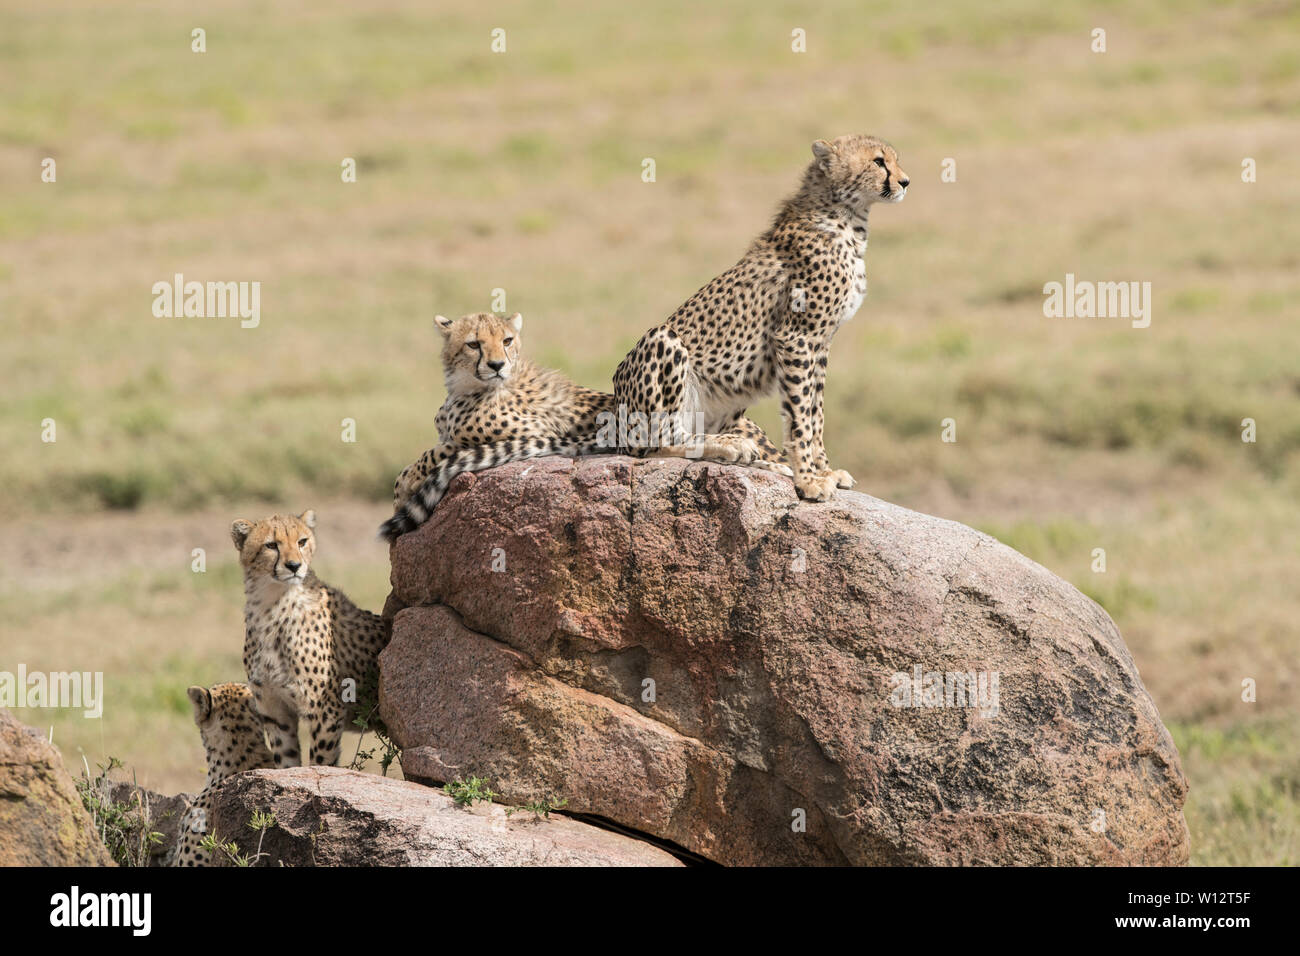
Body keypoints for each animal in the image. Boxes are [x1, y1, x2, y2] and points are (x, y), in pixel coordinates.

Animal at [233, 512, 387, 764]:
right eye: (271, 545)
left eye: (302, 541)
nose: (294, 566)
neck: (271, 604)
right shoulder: (275, 712)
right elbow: (287, 761)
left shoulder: (326, 710)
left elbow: (321, 761)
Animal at [379, 310, 616, 541]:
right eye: (473, 344)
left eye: (507, 341)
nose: (497, 365)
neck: (464, 386)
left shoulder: (537, 431)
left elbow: (432, 453)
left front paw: (405, 486)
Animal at [613, 137, 909, 504]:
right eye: (879, 162)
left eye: (894, 159)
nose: (905, 182)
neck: (846, 216)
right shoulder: (796, 337)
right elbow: (800, 415)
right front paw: (809, 480)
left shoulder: (821, 344)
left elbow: (816, 412)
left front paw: (824, 471)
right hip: (662, 341)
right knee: (655, 443)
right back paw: (731, 446)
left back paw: (752, 455)